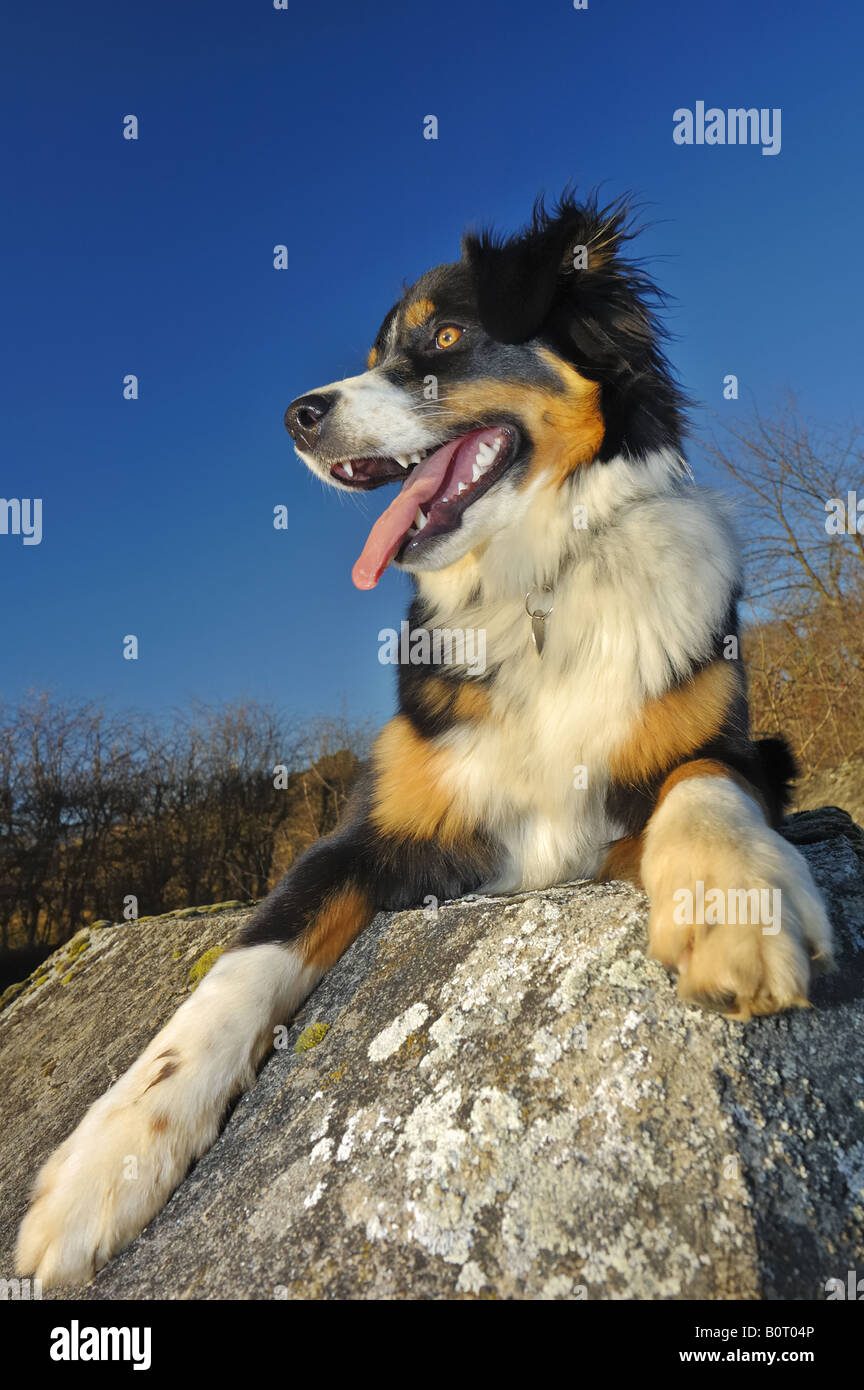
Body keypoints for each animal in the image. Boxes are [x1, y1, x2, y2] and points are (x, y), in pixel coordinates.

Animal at [13, 190, 838, 1284]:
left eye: (443, 338)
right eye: (373, 354)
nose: (297, 415)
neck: (532, 587)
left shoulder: (724, 749)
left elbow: (703, 780)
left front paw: (732, 903)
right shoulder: (361, 835)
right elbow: (237, 969)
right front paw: (103, 1163)